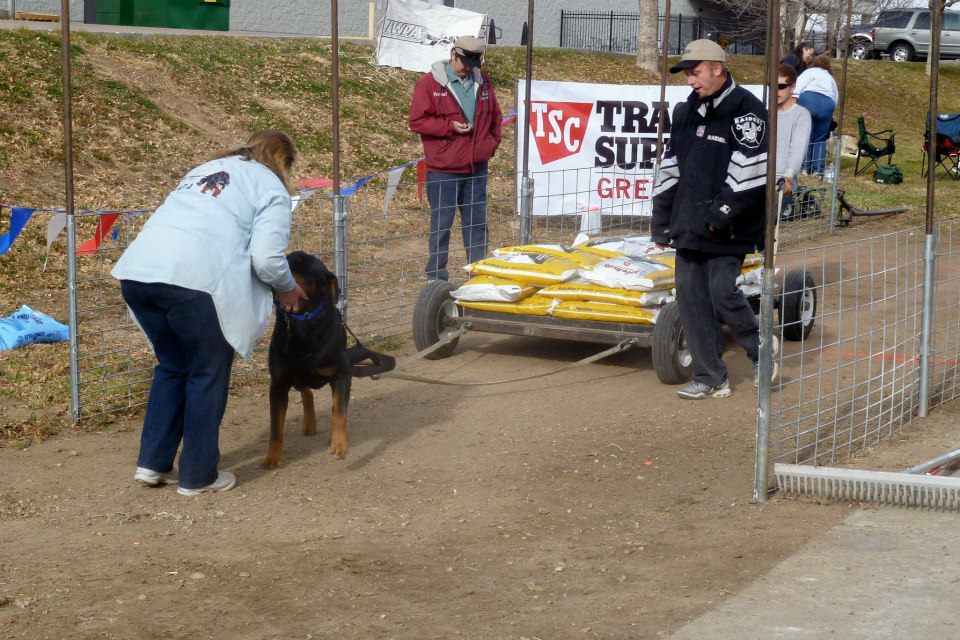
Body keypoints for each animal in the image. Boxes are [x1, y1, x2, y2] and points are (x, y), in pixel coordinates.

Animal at [260, 251, 350, 470]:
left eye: (301, 263)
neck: (303, 320)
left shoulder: (342, 374)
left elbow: (339, 412)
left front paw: (339, 443)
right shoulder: (279, 383)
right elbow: (276, 428)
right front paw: (272, 457)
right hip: (297, 377)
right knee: (306, 392)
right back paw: (309, 423)